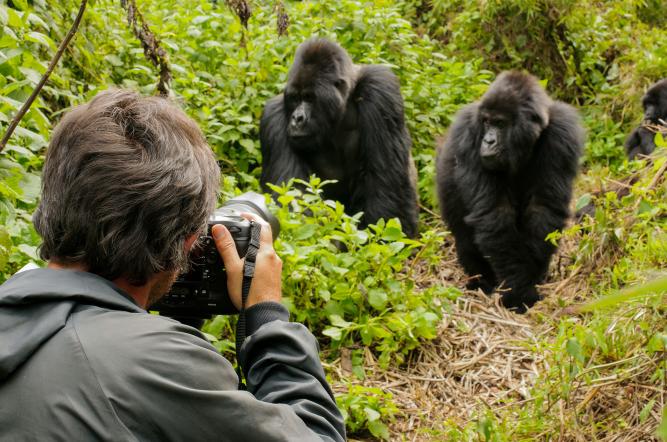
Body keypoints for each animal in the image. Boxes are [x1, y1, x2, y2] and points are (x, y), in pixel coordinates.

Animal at [260, 38, 418, 238]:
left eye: (309, 98)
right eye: (295, 98)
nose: (297, 118)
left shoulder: (380, 89)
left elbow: (386, 184)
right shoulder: (274, 116)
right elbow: (291, 197)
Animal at [438, 72, 584, 312]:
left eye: (500, 123)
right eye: (486, 122)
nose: (488, 141)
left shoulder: (563, 133)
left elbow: (543, 208)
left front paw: (532, 278)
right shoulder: (469, 132)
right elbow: (494, 213)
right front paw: (519, 292)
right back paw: (480, 280)